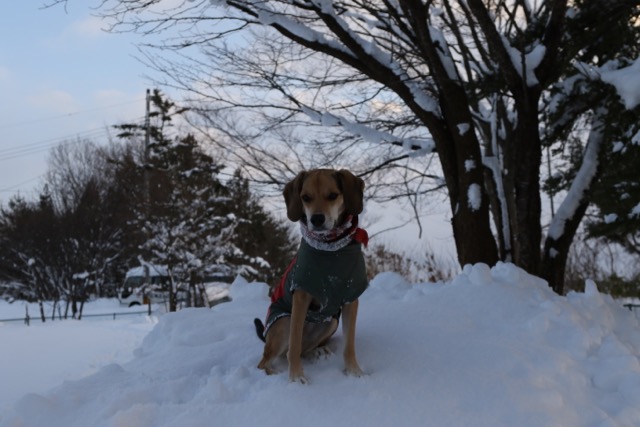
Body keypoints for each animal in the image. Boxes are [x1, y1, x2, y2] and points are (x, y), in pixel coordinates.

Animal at [252, 168, 368, 384]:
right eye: (305, 198)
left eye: (333, 195)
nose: (317, 219)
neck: (331, 249)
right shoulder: (301, 296)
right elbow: (295, 344)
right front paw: (296, 377)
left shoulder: (351, 298)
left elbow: (349, 345)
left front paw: (354, 372)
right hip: (283, 322)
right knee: (269, 359)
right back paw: (273, 374)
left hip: (331, 321)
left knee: (303, 349)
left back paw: (318, 352)